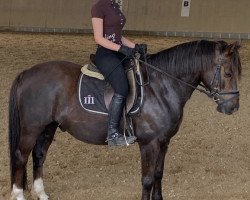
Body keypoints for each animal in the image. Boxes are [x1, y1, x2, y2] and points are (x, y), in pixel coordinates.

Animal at [8, 39, 241, 199]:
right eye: (228, 74)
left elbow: (159, 174)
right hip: (31, 128)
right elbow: (147, 179)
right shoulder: (149, 143)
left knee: (39, 156)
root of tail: (27, 73)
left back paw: (41, 193)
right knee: (21, 156)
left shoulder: (164, 141)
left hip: (48, 126)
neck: (161, 86)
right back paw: (19, 195)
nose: (233, 108)